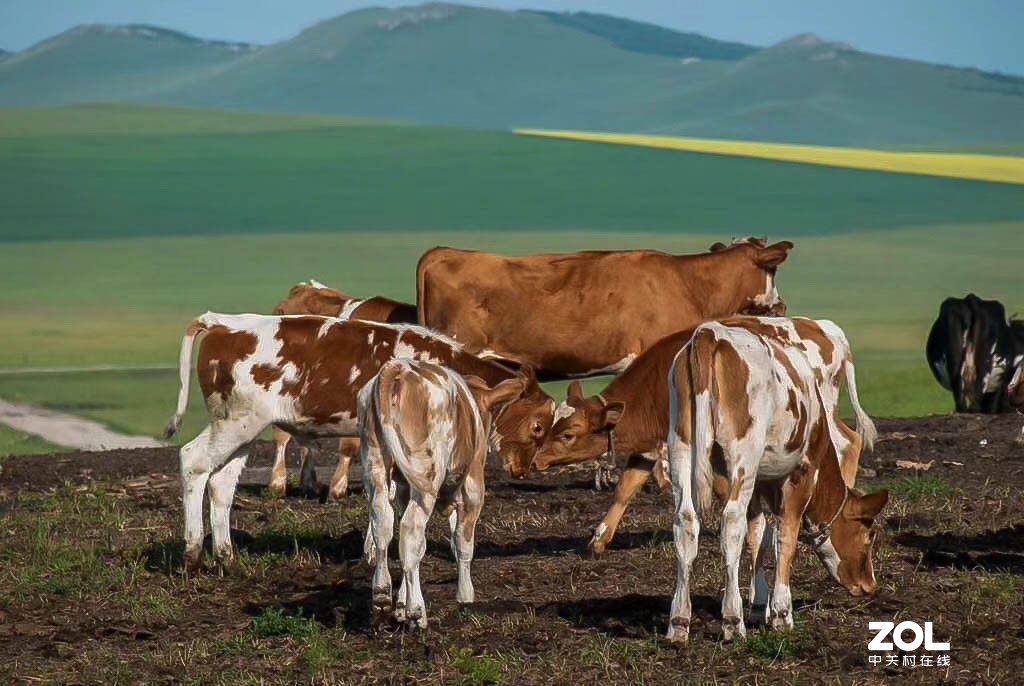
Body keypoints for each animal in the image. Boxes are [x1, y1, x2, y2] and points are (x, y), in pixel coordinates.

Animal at [163, 315, 552, 573]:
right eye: (537, 426)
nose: (524, 470)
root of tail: (222, 322)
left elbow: (391, 495)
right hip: (235, 422)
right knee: (194, 462)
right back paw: (192, 554)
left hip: (241, 430)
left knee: (221, 483)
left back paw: (226, 557)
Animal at [532, 317, 876, 556]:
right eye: (553, 424)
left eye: (568, 434)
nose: (536, 461)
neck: (654, 385)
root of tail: (827, 330)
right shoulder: (648, 448)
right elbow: (624, 490)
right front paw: (598, 540)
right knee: (850, 439)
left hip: (821, 413)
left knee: (845, 444)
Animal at [663, 323, 888, 647]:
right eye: (870, 535)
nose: (870, 584)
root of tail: (711, 333)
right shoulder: (800, 474)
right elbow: (785, 537)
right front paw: (781, 612)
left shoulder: (757, 482)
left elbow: (758, 534)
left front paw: (759, 604)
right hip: (742, 454)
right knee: (731, 523)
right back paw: (732, 621)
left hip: (681, 447)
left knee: (686, 522)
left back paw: (679, 622)